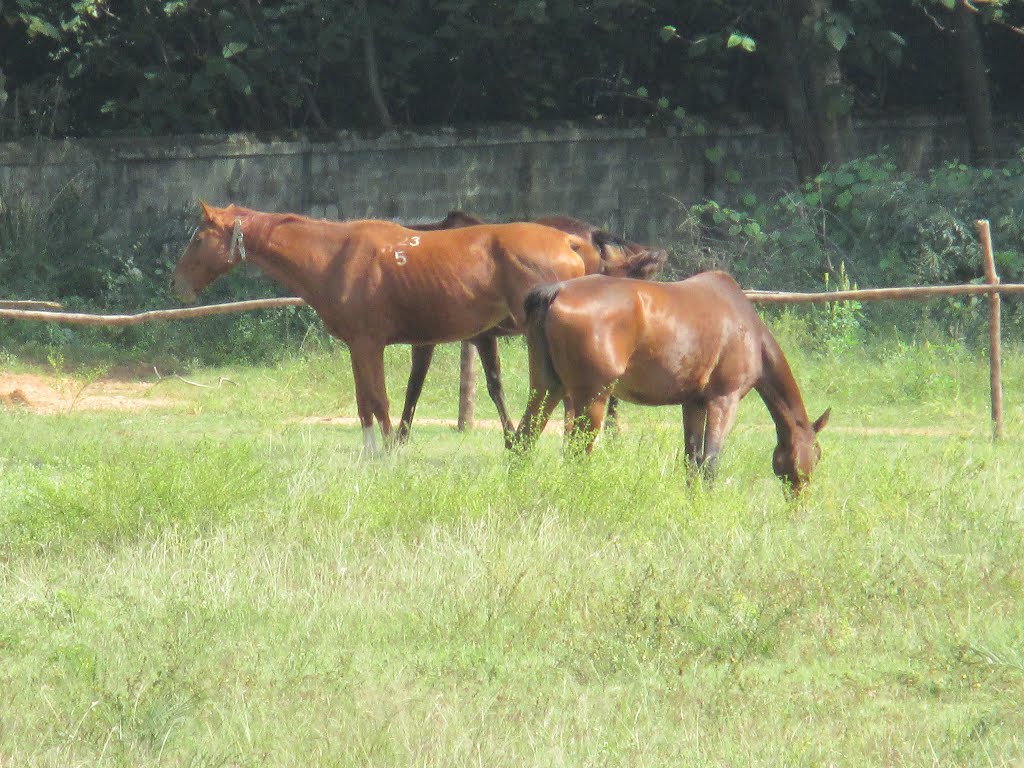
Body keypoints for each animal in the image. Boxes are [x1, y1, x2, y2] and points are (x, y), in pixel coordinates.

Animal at [173, 204, 606, 456]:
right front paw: (371, 455)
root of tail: (570, 241)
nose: (176, 284)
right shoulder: (357, 346)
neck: (335, 255)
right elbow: (364, 403)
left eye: (198, 238)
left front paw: (387, 456)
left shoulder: (370, 345)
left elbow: (380, 402)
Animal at [403, 210, 667, 438]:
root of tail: (593, 236)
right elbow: (495, 384)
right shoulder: (482, 338)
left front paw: (399, 440)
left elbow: (415, 385)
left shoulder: (432, 339)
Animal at [516, 274, 827, 495]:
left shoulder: (693, 403)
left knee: (524, 439)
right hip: (591, 397)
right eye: (817, 455)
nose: (799, 504)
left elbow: (692, 461)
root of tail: (556, 290)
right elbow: (710, 462)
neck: (748, 329)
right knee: (577, 453)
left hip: (547, 389)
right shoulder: (724, 400)